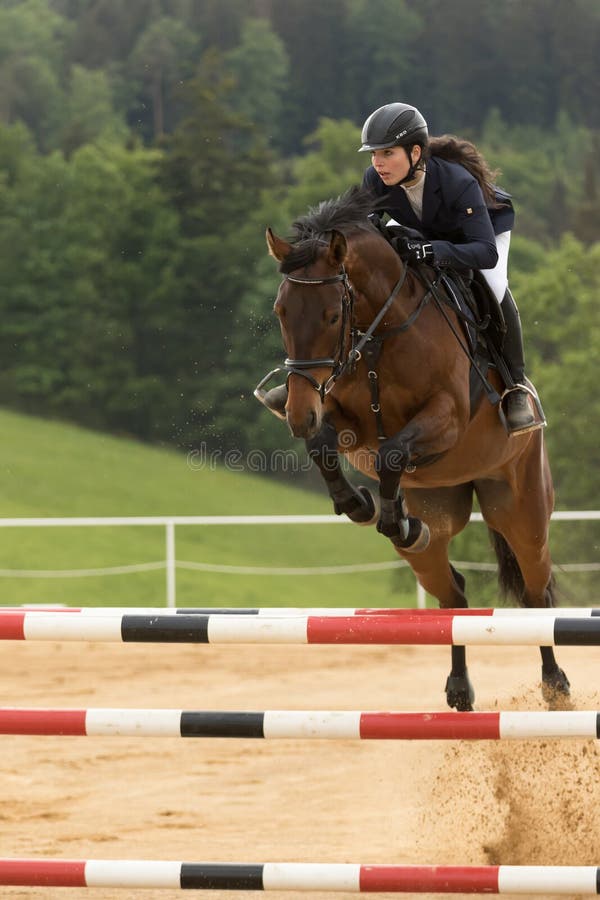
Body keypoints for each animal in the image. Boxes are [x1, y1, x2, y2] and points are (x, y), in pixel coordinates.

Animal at [258, 186, 568, 712]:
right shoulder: (341, 413)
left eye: (333, 315)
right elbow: (326, 447)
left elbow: (392, 454)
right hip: (441, 509)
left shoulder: (446, 418)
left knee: (534, 592)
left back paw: (555, 685)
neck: (380, 331)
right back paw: (459, 685)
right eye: (281, 312)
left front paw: (387, 515)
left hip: (520, 507)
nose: (298, 413)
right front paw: (361, 505)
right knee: (453, 596)